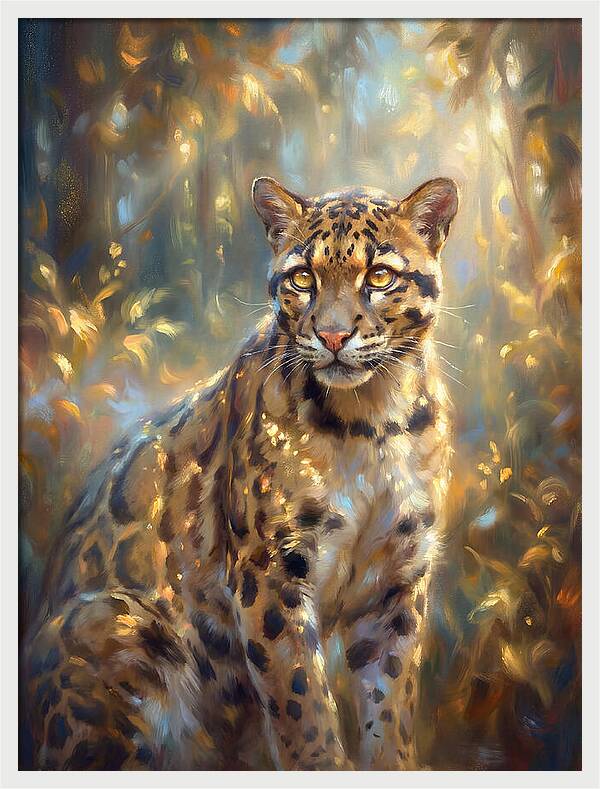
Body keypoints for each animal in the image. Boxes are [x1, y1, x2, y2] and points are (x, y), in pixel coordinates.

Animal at [23, 174, 458, 771]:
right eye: (302, 278)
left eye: (379, 275)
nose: (333, 336)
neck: (372, 423)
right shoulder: (270, 573)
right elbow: (302, 706)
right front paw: (323, 761)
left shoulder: (397, 581)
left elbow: (389, 704)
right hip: (117, 623)